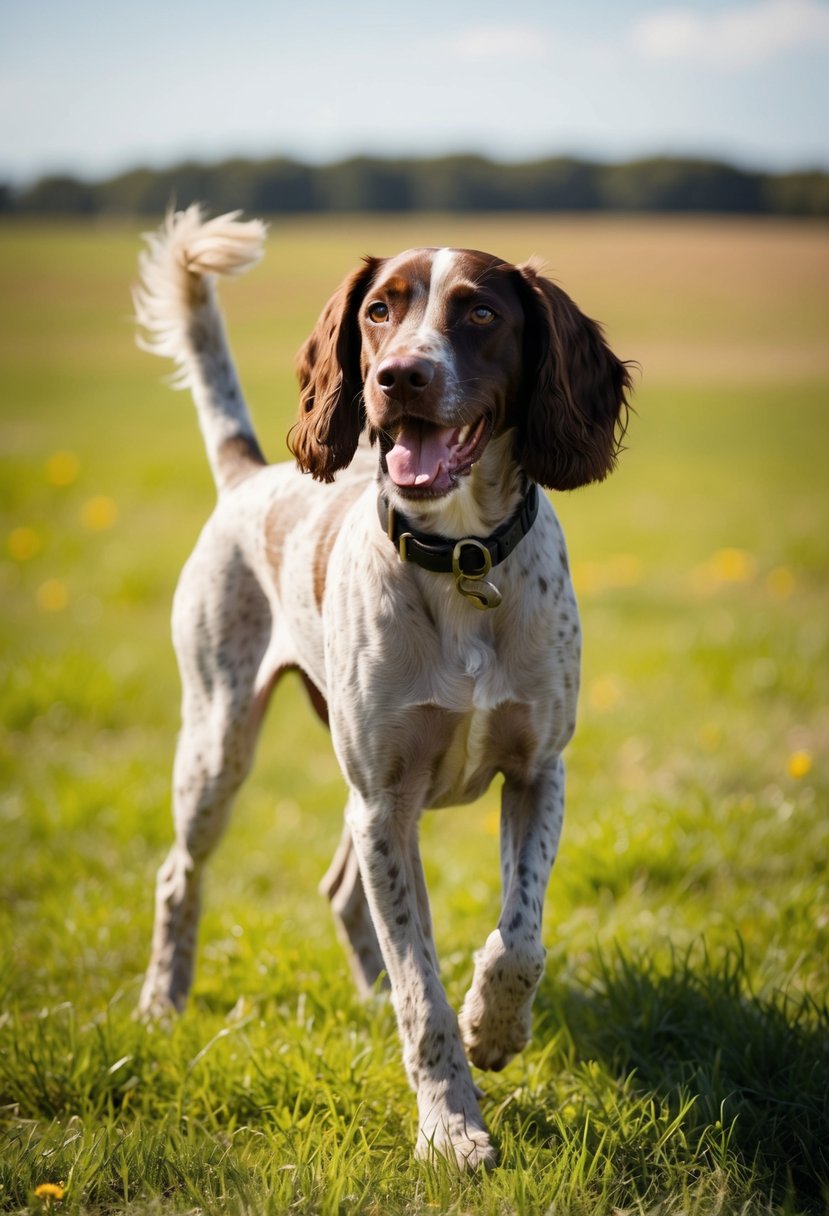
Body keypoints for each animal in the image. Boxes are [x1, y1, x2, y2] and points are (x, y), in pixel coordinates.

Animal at [133, 206, 627, 1167]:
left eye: (479, 313)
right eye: (377, 311)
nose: (399, 376)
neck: (463, 559)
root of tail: (249, 473)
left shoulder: (536, 772)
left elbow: (518, 939)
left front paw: (494, 1031)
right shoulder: (385, 802)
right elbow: (420, 988)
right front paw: (451, 1127)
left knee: (339, 887)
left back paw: (363, 1000)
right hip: (220, 742)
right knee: (178, 875)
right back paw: (162, 1004)